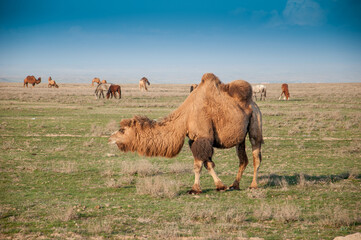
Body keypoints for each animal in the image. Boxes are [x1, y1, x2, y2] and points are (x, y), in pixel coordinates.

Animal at [108, 72, 262, 194]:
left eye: (122, 130)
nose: (110, 138)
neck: (185, 117)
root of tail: (254, 104)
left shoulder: (203, 137)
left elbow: (198, 165)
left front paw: (195, 189)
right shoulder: (195, 139)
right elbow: (207, 164)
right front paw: (221, 186)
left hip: (255, 121)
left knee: (256, 155)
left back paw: (253, 185)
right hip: (240, 137)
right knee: (243, 159)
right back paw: (234, 185)